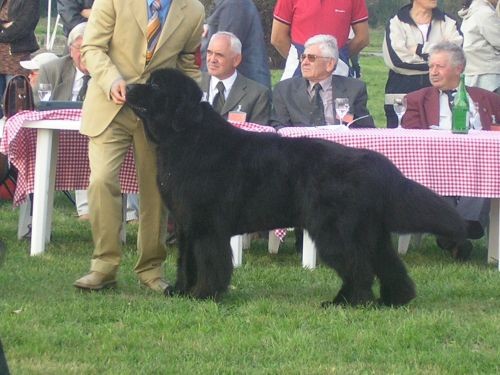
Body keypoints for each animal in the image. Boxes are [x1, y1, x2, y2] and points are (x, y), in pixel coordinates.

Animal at [127, 69, 466, 306]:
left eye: (156, 86)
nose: (128, 87)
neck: (183, 137)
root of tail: (375, 163)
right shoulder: (187, 223)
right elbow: (187, 261)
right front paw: (181, 291)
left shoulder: (207, 224)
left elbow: (209, 262)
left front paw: (204, 294)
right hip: (368, 230)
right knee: (386, 263)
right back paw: (394, 300)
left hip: (334, 230)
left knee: (358, 266)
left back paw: (346, 302)